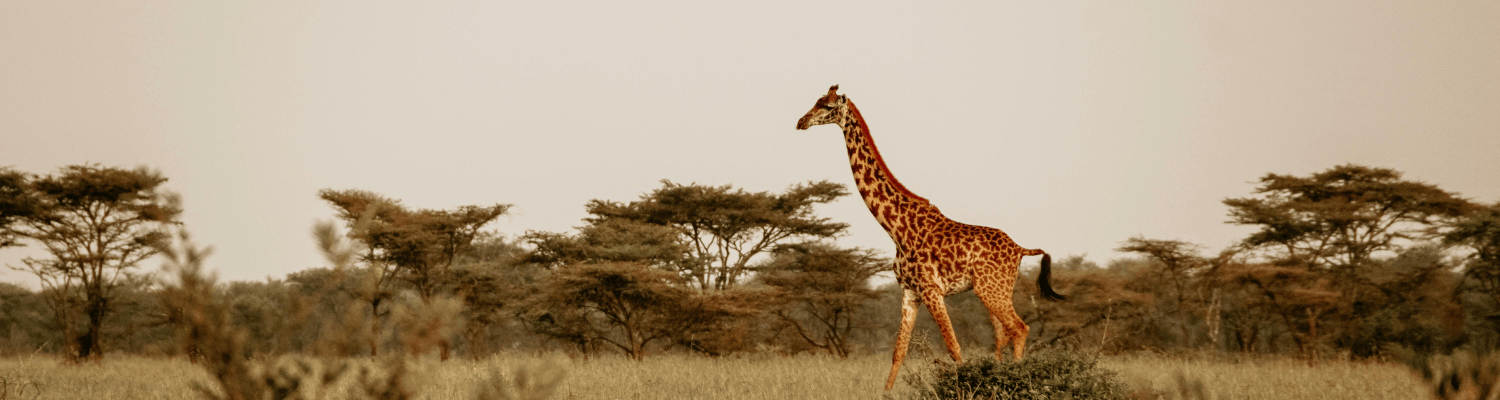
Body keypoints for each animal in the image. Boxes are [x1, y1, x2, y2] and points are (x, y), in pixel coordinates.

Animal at [795, 85, 1067, 391]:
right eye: (816, 101)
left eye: (827, 106)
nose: (801, 122)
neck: (895, 228)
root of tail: (1020, 249)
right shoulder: (909, 292)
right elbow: (899, 351)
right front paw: (886, 393)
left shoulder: (932, 290)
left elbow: (954, 347)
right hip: (994, 290)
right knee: (1003, 335)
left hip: (991, 289)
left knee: (1019, 328)